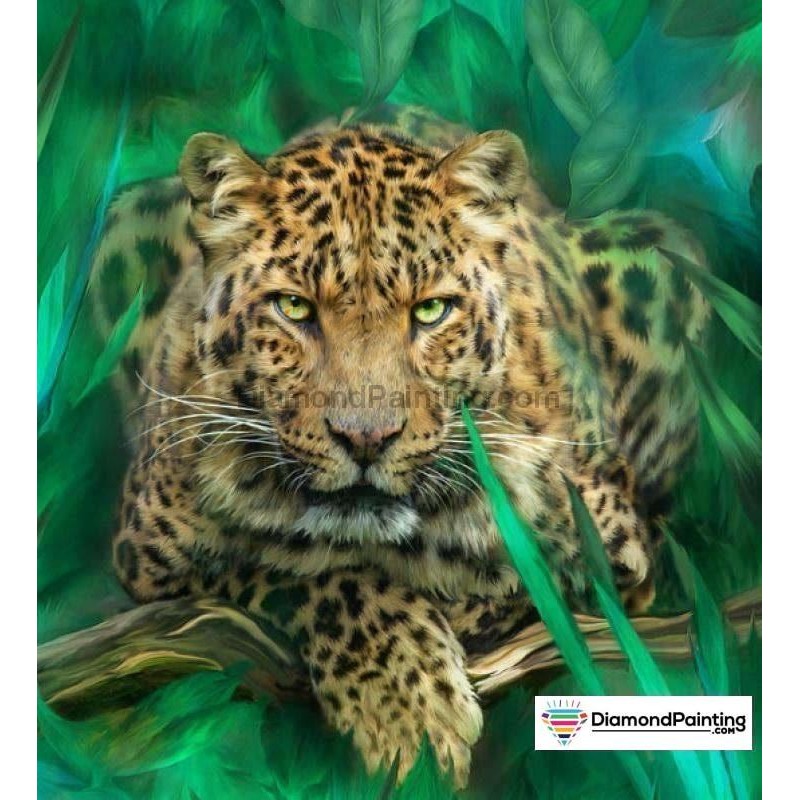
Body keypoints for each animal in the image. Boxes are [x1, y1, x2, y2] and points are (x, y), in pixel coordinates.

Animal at [92, 105, 709, 788]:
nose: (366, 438)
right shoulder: (149, 561)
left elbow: (533, 583)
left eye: (432, 310)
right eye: (293, 307)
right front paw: (403, 705)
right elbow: (302, 568)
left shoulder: (615, 549)